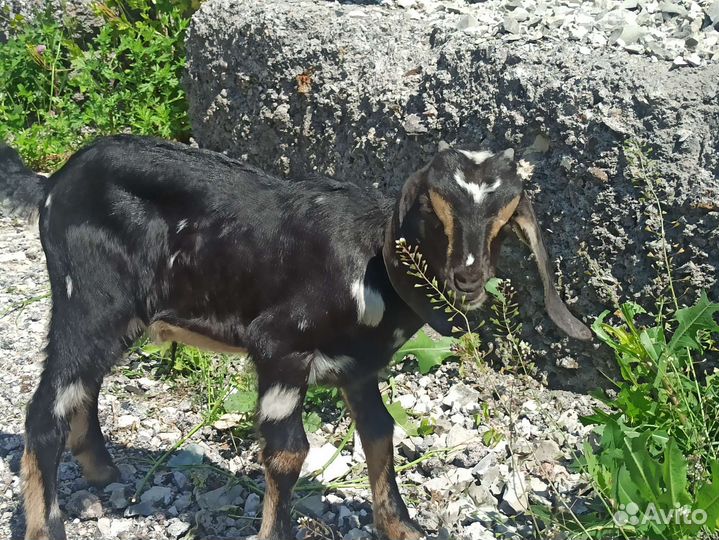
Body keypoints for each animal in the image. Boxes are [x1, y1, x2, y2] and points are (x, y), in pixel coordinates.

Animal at [17, 135, 591, 540]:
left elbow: (380, 433)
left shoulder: (359, 368)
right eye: (433, 207)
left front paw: (402, 527)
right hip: (91, 298)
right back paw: (48, 527)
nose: (468, 278)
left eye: (507, 214)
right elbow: (289, 452)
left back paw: (101, 471)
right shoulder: (279, 348)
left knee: (82, 386)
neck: (368, 264)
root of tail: (52, 185)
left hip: (115, 319)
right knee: (46, 407)